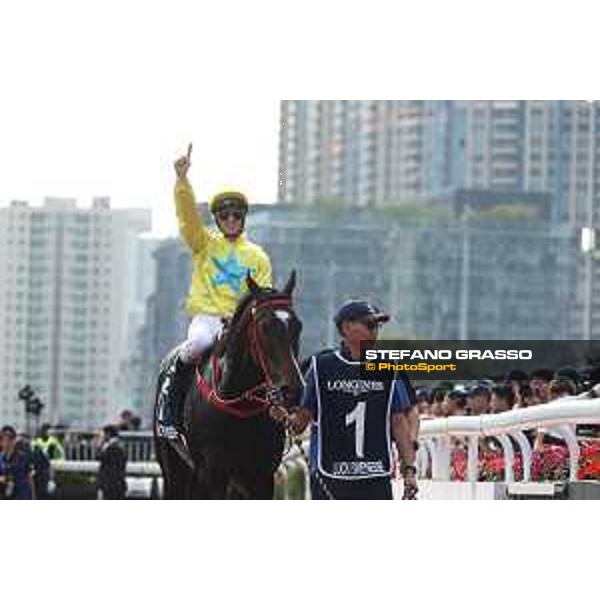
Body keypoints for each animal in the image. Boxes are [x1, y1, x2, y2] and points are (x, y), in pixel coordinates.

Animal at [155, 272, 302, 496]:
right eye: (264, 328)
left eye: (298, 326)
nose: (292, 389)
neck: (238, 402)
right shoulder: (213, 473)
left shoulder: (261, 477)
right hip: (173, 467)